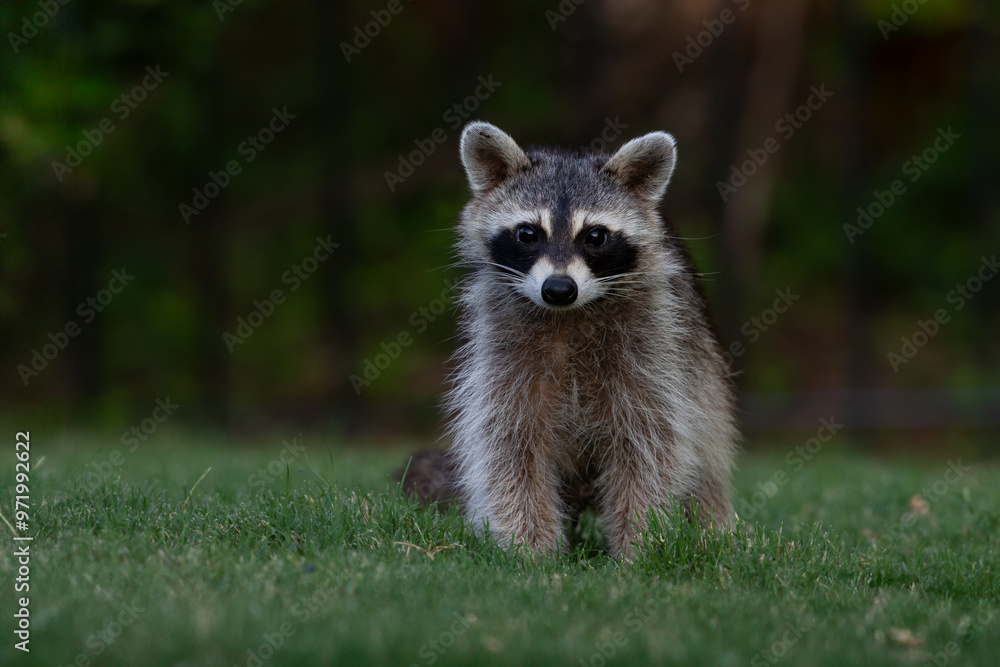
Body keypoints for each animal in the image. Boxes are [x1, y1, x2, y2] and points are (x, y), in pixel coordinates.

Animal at [403, 122, 738, 559]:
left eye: (595, 236)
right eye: (527, 233)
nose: (559, 289)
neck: (567, 316)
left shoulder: (654, 345)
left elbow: (649, 445)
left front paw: (640, 541)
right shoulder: (502, 350)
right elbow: (510, 445)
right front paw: (530, 546)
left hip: (701, 369)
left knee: (708, 455)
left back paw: (711, 526)